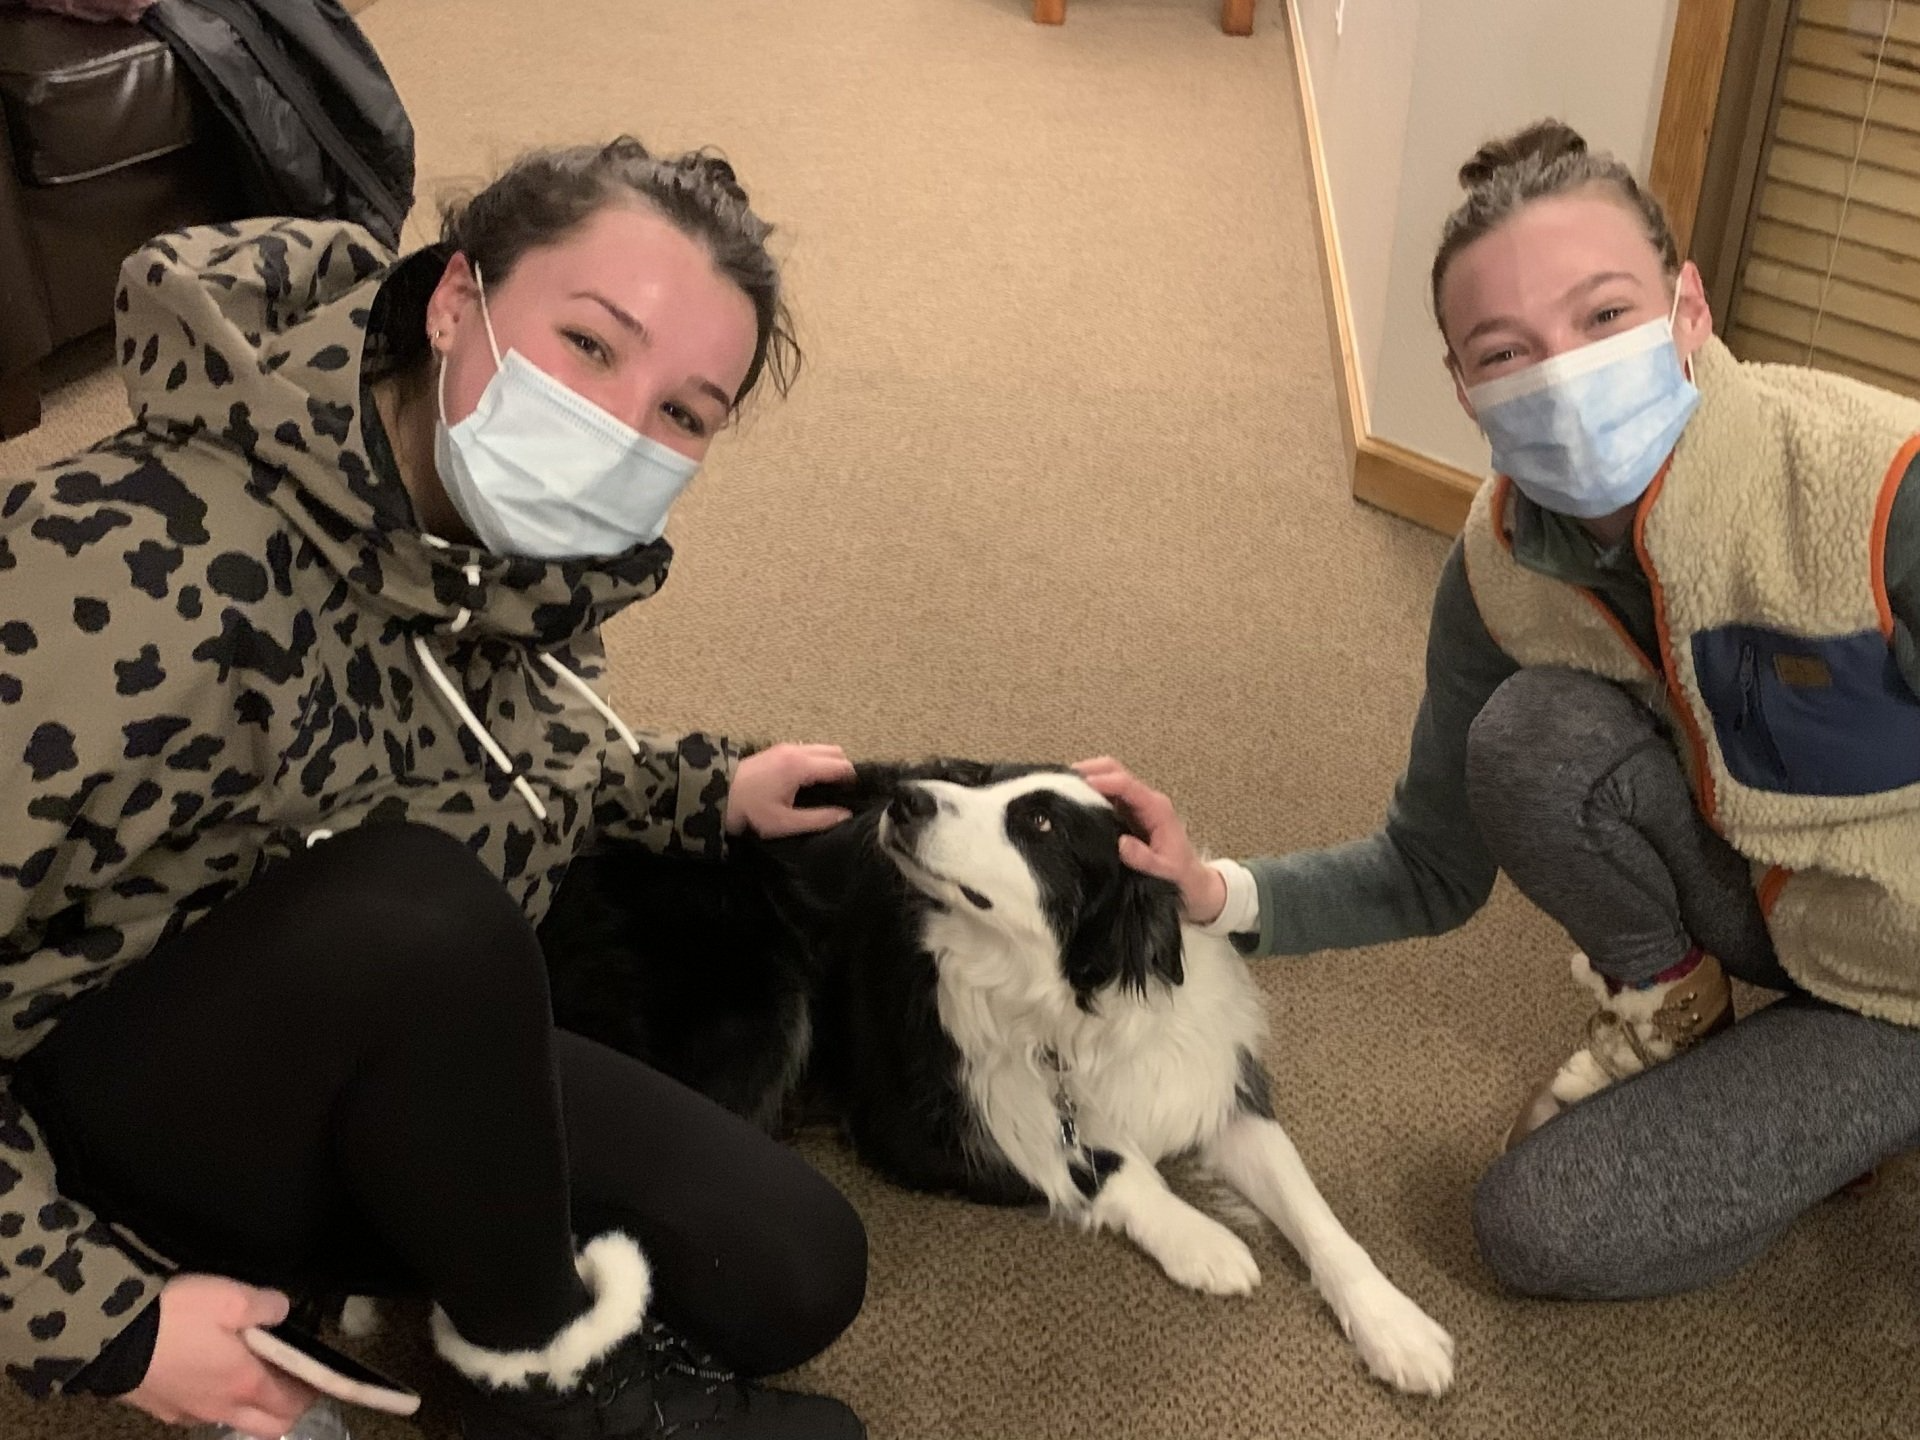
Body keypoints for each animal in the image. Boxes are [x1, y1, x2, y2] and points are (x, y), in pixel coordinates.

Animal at [539, 760, 1455, 1395]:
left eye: (1038, 823)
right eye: (981, 782)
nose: (905, 800)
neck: (1073, 998)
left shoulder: (1206, 1079)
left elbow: (1313, 1210)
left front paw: (1397, 1326)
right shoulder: (933, 1119)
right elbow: (1105, 1162)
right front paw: (1206, 1242)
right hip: (759, 1012)